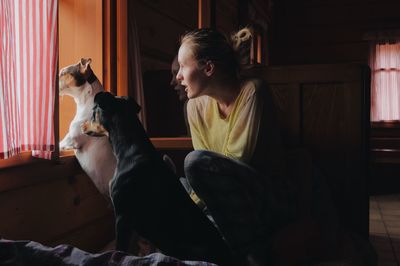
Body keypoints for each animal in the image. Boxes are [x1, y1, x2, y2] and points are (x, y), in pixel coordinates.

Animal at [81, 92, 234, 266]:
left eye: (93, 112)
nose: (82, 126)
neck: (128, 149)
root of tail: (228, 256)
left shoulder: (122, 216)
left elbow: (120, 250)